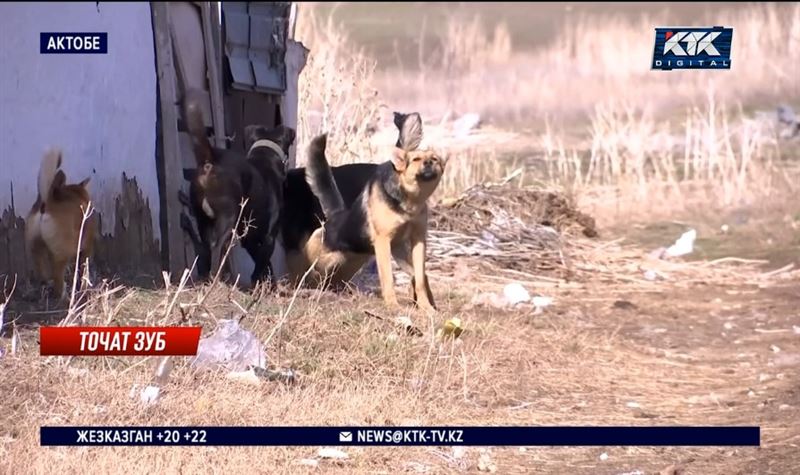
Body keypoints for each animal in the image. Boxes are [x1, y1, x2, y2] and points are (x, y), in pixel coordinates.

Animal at [24, 149, 97, 302]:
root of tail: (47, 202)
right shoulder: (86, 247)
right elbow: (84, 268)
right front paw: (84, 288)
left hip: (36, 248)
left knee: (42, 273)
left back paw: (45, 287)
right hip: (62, 254)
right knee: (58, 276)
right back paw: (64, 297)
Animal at [304, 116, 446, 312]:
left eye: (434, 159)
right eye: (416, 159)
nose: (429, 163)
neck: (410, 202)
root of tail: (336, 216)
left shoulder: (417, 241)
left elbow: (420, 278)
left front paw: (426, 307)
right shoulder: (383, 242)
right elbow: (388, 279)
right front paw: (393, 306)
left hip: (367, 258)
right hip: (321, 258)